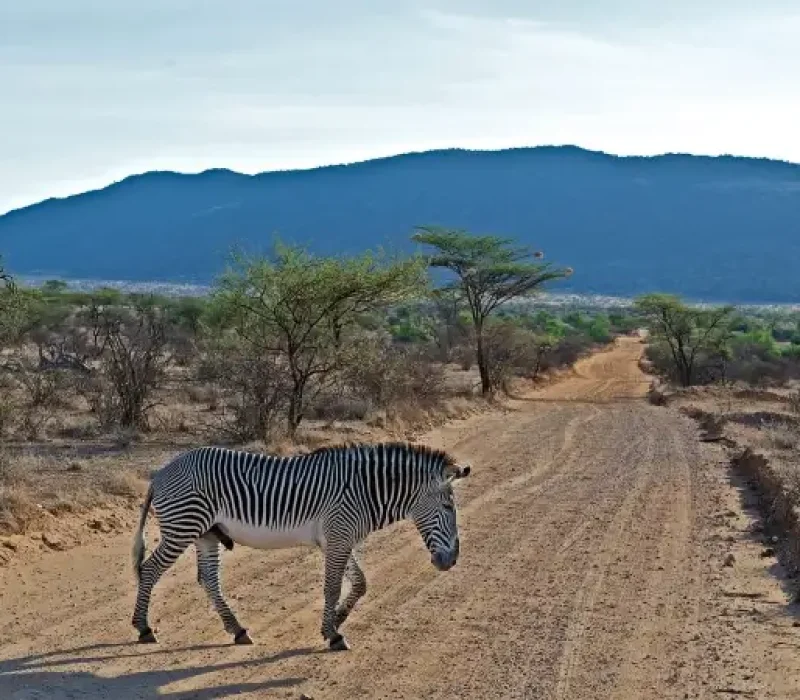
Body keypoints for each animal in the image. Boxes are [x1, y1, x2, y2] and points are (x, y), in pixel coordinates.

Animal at [131, 441, 471, 651]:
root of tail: (161, 474)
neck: (365, 491)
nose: (452, 560)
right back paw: (144, 628)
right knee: (149, 570)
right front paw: (333, 635)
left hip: (207, 533)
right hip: (183, 527)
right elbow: (332, 587)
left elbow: (360, 583)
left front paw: (337, 619)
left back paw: (238, 630)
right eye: (448, 507)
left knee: (209, 580)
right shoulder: (338, 535)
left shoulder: (339, 538)